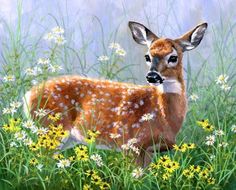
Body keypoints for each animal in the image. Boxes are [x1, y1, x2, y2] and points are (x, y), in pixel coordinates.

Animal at [23, 21, 206, 166]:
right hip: (51, 129)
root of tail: (28, 95)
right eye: (147, 56)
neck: (163, 116)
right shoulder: (131, 144)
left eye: (173, 57)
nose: (152, 76)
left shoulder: (149, 150)